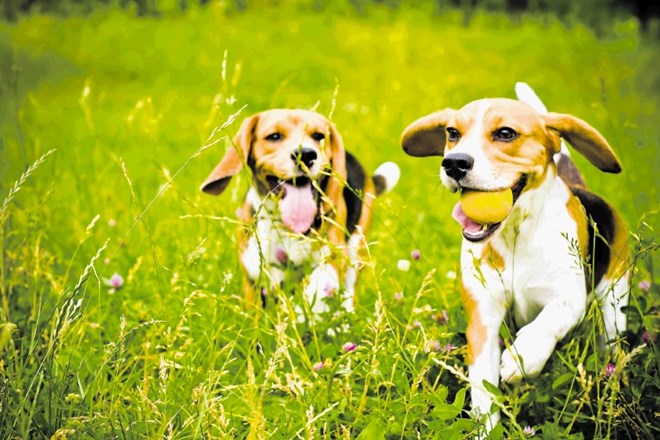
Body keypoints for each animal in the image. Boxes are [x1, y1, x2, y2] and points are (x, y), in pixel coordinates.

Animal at [200, 110, 398, 316]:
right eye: (274, 136)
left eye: (319, 136)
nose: (306, 154)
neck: (285, 226)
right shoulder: (254, 271)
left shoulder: (333, 257)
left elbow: (318, 283)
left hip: (356, 250)